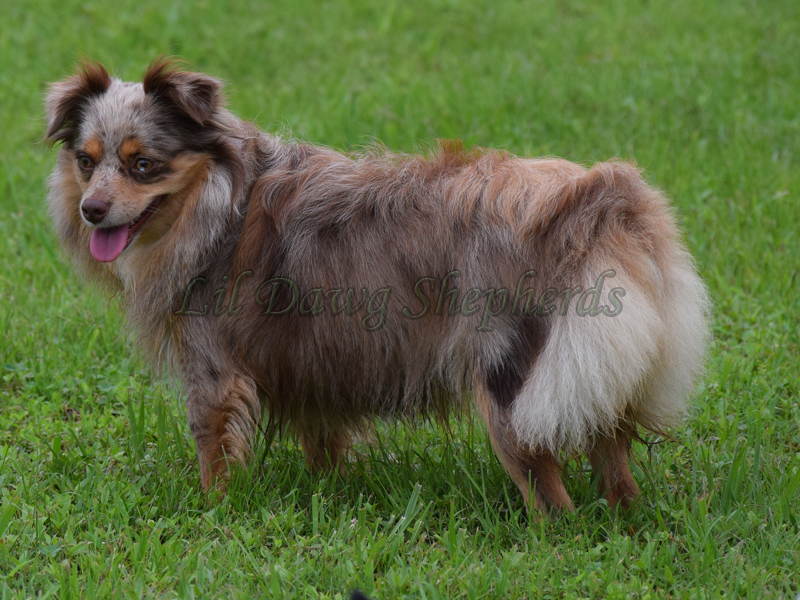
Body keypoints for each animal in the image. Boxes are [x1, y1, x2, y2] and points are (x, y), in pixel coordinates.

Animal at [43, 58, 708, 512]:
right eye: (86, 161)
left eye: (142, 166)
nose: (92, 211)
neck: (220, 202)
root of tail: (600, 197)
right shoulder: (313, 363)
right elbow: (323, 440)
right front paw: (329, 491)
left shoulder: (214, 373)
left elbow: (212, 453)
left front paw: (213, 513)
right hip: (593, 363)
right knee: (613, 452)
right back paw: (623, 518)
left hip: (515, 384)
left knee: (548, 491)